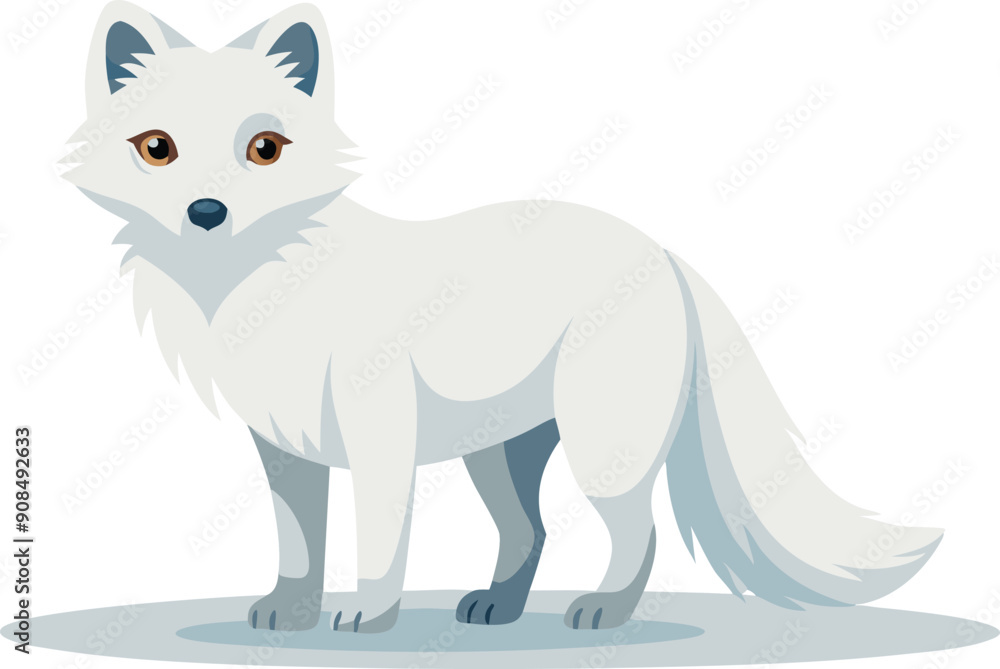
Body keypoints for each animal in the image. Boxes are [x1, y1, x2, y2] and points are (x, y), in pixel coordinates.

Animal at [63, 1, 943, 634]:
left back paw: (602, 611)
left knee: (639, 531)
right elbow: (298, 543)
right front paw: (291, 612)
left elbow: (378, 543)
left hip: (600, 448)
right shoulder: (285, 447)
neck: (256, 297)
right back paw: (496, 608)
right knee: (532, 532)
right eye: (156, 148)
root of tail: (662, 251)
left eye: (266, 150)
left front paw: (367, 617)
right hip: (496, 453)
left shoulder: (379, 438)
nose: (206, 213)